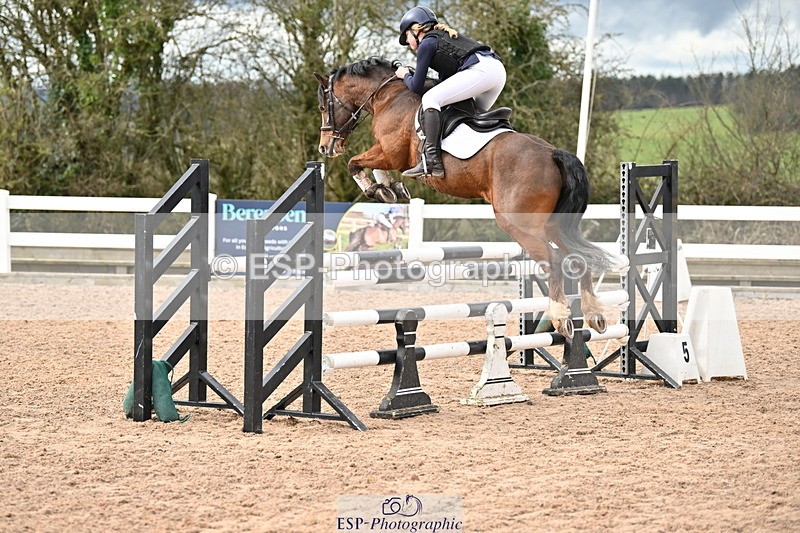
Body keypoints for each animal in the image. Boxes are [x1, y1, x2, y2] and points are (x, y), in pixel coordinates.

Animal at [314, 57, 611, 336]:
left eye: (323, 107)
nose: (326, 147)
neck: (388, 94)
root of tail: (552, 153)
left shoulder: (390, 152)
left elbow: (355, 163)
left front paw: (377, 189)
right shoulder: (388, 154)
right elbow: (370, 166)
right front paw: (390, 189)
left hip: (518, 223)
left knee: (556, 261)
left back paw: (560, 316)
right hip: (553, 224)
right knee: (578, 257)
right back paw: (594, 314)